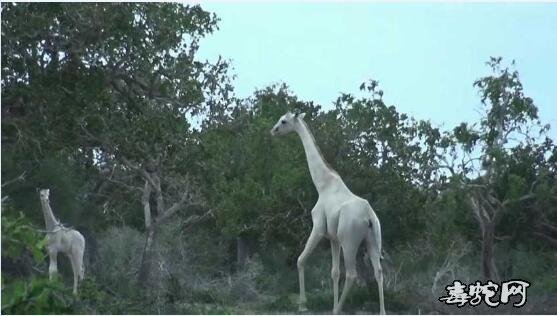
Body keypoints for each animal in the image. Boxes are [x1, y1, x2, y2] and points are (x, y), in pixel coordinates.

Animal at [272, 111, 384, 314]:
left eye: (283, 121)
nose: (273, 130)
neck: (322, 184)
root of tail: (369, 217)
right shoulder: (333, 238)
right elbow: (334, 273)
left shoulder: (318, 228)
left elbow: (300, 260)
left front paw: (302, 305)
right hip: (373, 240)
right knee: (378, 272)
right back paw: (381, 311)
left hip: (350, 241)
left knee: (352, 275)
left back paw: (337, 310)